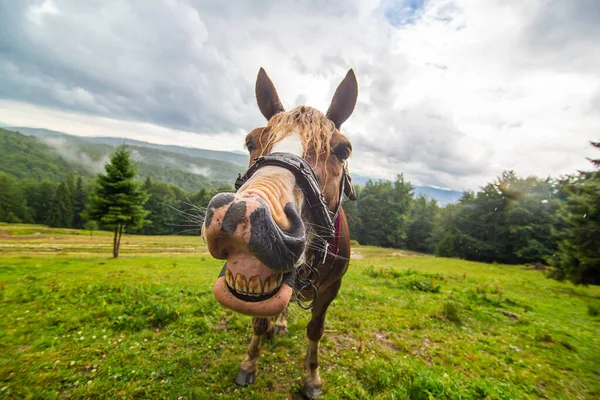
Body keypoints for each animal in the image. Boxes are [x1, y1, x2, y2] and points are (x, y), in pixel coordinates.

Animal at [202, 67, 356, 398]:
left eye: (343, 150)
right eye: (250, 142)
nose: (243, 213)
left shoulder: (331, 290)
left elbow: (315, 330)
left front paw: (311, 377)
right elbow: (259, 323)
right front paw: (249, 363)